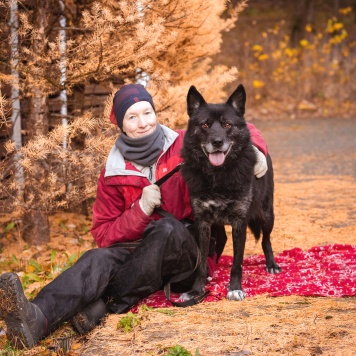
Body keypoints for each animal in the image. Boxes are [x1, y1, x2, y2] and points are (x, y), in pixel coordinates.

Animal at [181, 83, 280, 300]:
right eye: (205, 125)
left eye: (227, 125)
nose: (217, 142)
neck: (218, 176)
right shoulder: (202, 222)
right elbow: (201, 263)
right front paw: (196, 290)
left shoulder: (239, 222)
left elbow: (237, 263)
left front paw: (235, 288)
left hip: (267, 214)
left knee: (266, 239)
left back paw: (271, 264)